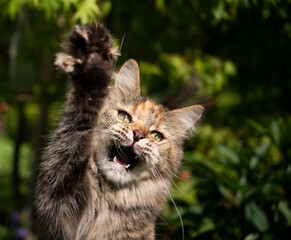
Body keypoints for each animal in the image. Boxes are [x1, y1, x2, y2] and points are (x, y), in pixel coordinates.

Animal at [34, 23, 205, 240]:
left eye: (156, 136)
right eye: (124, 116)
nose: (138, 135)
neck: (110, 199)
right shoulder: (60, 196)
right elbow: (81, 120)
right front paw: (93, 58)